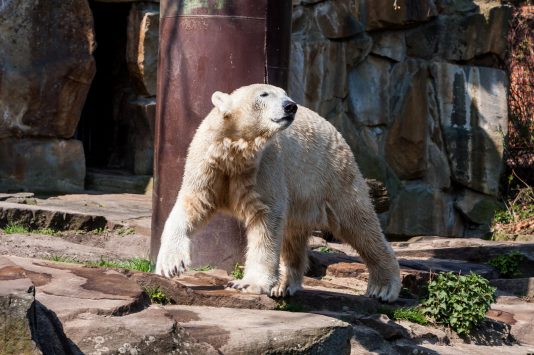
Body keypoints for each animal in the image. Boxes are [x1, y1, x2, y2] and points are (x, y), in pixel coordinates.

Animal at [157, 84, 404, 304]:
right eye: (264, 94)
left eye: (285, 94)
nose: (290, 106)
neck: (235, 152)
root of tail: (334, 129)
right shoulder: (208, 166)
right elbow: (192, 205)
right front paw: (170, 265)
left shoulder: (265, 166)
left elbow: (266, 219)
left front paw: (249, 283)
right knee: (293, 236)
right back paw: (284, 285)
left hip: (332, 175)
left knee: (358, 223)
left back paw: (384, 287)